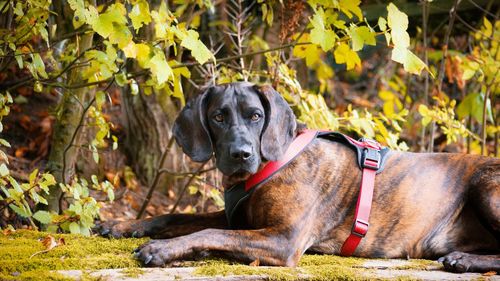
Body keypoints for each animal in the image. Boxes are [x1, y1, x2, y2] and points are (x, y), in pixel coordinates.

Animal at [95, 82, 498, 272]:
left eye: (256, 116)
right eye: (218, 117)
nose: (241, 154)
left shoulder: (284, 239)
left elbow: (209, 232)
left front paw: (161, 250)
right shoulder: (237, 218)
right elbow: (176, 216)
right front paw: (120, 225)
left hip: (486, 186)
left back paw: (465, 260)